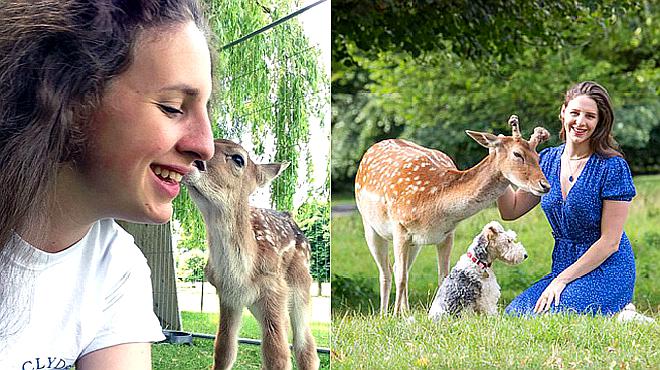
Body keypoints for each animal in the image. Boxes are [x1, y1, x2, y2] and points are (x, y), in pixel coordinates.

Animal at [183, 139, 320, 370]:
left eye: (238, 159)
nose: (193, 161)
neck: (241, 274)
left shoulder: (274, 289)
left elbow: (277, 357)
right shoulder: (228, 296)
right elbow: (224, 349)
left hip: (301, 285)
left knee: (305, 345)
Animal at [356, 115, 552, 316]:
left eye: (537, 156)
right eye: (517, 154)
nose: (545, 185)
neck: (434, 207)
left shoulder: (447, 234)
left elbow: (443, 276)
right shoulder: (400, 227)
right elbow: (401, 278)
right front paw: (394, 317)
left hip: (415, 243)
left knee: (397, 268)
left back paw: (406, 311)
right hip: (370, 225)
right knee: (387, 271)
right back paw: (385, 313)